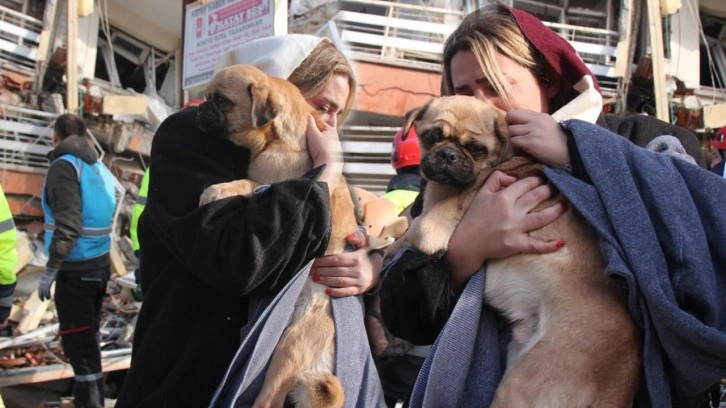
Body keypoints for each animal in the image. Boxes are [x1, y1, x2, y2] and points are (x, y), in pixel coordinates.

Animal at [198, 65, 360, 408]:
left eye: (221, 101)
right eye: (208, 97)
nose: (200, 108)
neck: (274, 140)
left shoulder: (272, 184)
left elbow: (247, 183)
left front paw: (217, 190)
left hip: (288, 349)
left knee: (269, 399)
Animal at [386, 96, 644, 408]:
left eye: (476, 149)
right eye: (431, 137)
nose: (447, 154)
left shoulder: (429, 229)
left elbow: (407, 234)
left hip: (519, 388)